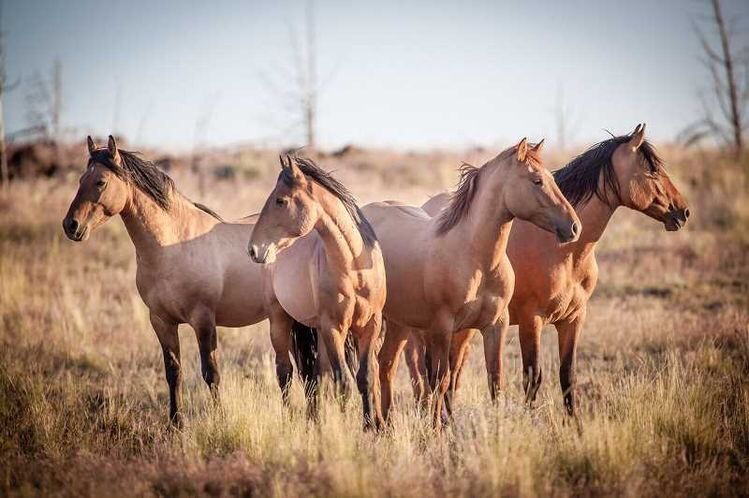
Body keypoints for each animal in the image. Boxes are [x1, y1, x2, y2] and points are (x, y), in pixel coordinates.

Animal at [61, 136, 312, 428]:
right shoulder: (161, 321)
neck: (172, 246)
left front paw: (219, 420)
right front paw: (176, 424)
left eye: (100, 182)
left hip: (283, 318)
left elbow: (211, 373)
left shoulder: (203, 320)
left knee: (291, 370)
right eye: (81, 179)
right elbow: (173, 372)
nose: (71, 225)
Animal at [248, 157, 386, 432]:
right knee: (286, 372)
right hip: (280, 321)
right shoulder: (334, 328)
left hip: (318, 333)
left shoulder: (369, 325)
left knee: (317, 376)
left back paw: (316, 420)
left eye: (280, 200)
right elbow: (343, 382)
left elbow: (364, 377)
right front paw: (345, 429)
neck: (354, 267)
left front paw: (369, 427)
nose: (254, 249)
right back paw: (291, 419)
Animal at [360, 138, 580, 430]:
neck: (476, 257)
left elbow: (495, 379)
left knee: (386, 365)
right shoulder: (442, 328)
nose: (574, 227)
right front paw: (436, 429)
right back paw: (377, 423)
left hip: (400, 322)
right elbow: (440, 380)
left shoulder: (495, 326)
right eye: (537, 181)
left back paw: (387, 424)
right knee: (376, 367)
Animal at [404, 124, 688, 416]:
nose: (683, 211)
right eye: (652, 171)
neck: (566, 254)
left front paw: (574, 424)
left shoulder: (573, 319)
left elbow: (568, 376)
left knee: (452, 371)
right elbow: (533, 378)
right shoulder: (532, 320)